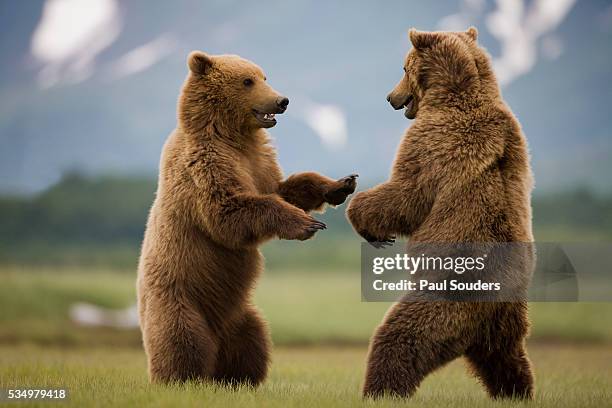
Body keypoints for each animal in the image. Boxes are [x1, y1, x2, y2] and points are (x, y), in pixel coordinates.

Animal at [137, 51, 358, 386]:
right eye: (247, 81)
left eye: (264, 76)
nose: (282, 100)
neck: (231, 135)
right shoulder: (206, 165)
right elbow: (230, 210)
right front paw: (307, 224)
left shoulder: (259, 163)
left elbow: (285, 188)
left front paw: (340, 184)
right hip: (178, 298)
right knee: (181, 341)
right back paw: (182, 379)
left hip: (239, 312)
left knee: (253, 339)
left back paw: (238, 379)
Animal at [350, 27, 536, 398]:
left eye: (403, 67)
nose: (390, 97)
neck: (454, 93)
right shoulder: (514, 135)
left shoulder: (433, 142)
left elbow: (408, 193)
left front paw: (365, 221)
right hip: (508, 319)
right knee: (507, 356)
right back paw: (517, 392)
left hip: (446, 298)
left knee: (400, 337)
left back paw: (381, 390)